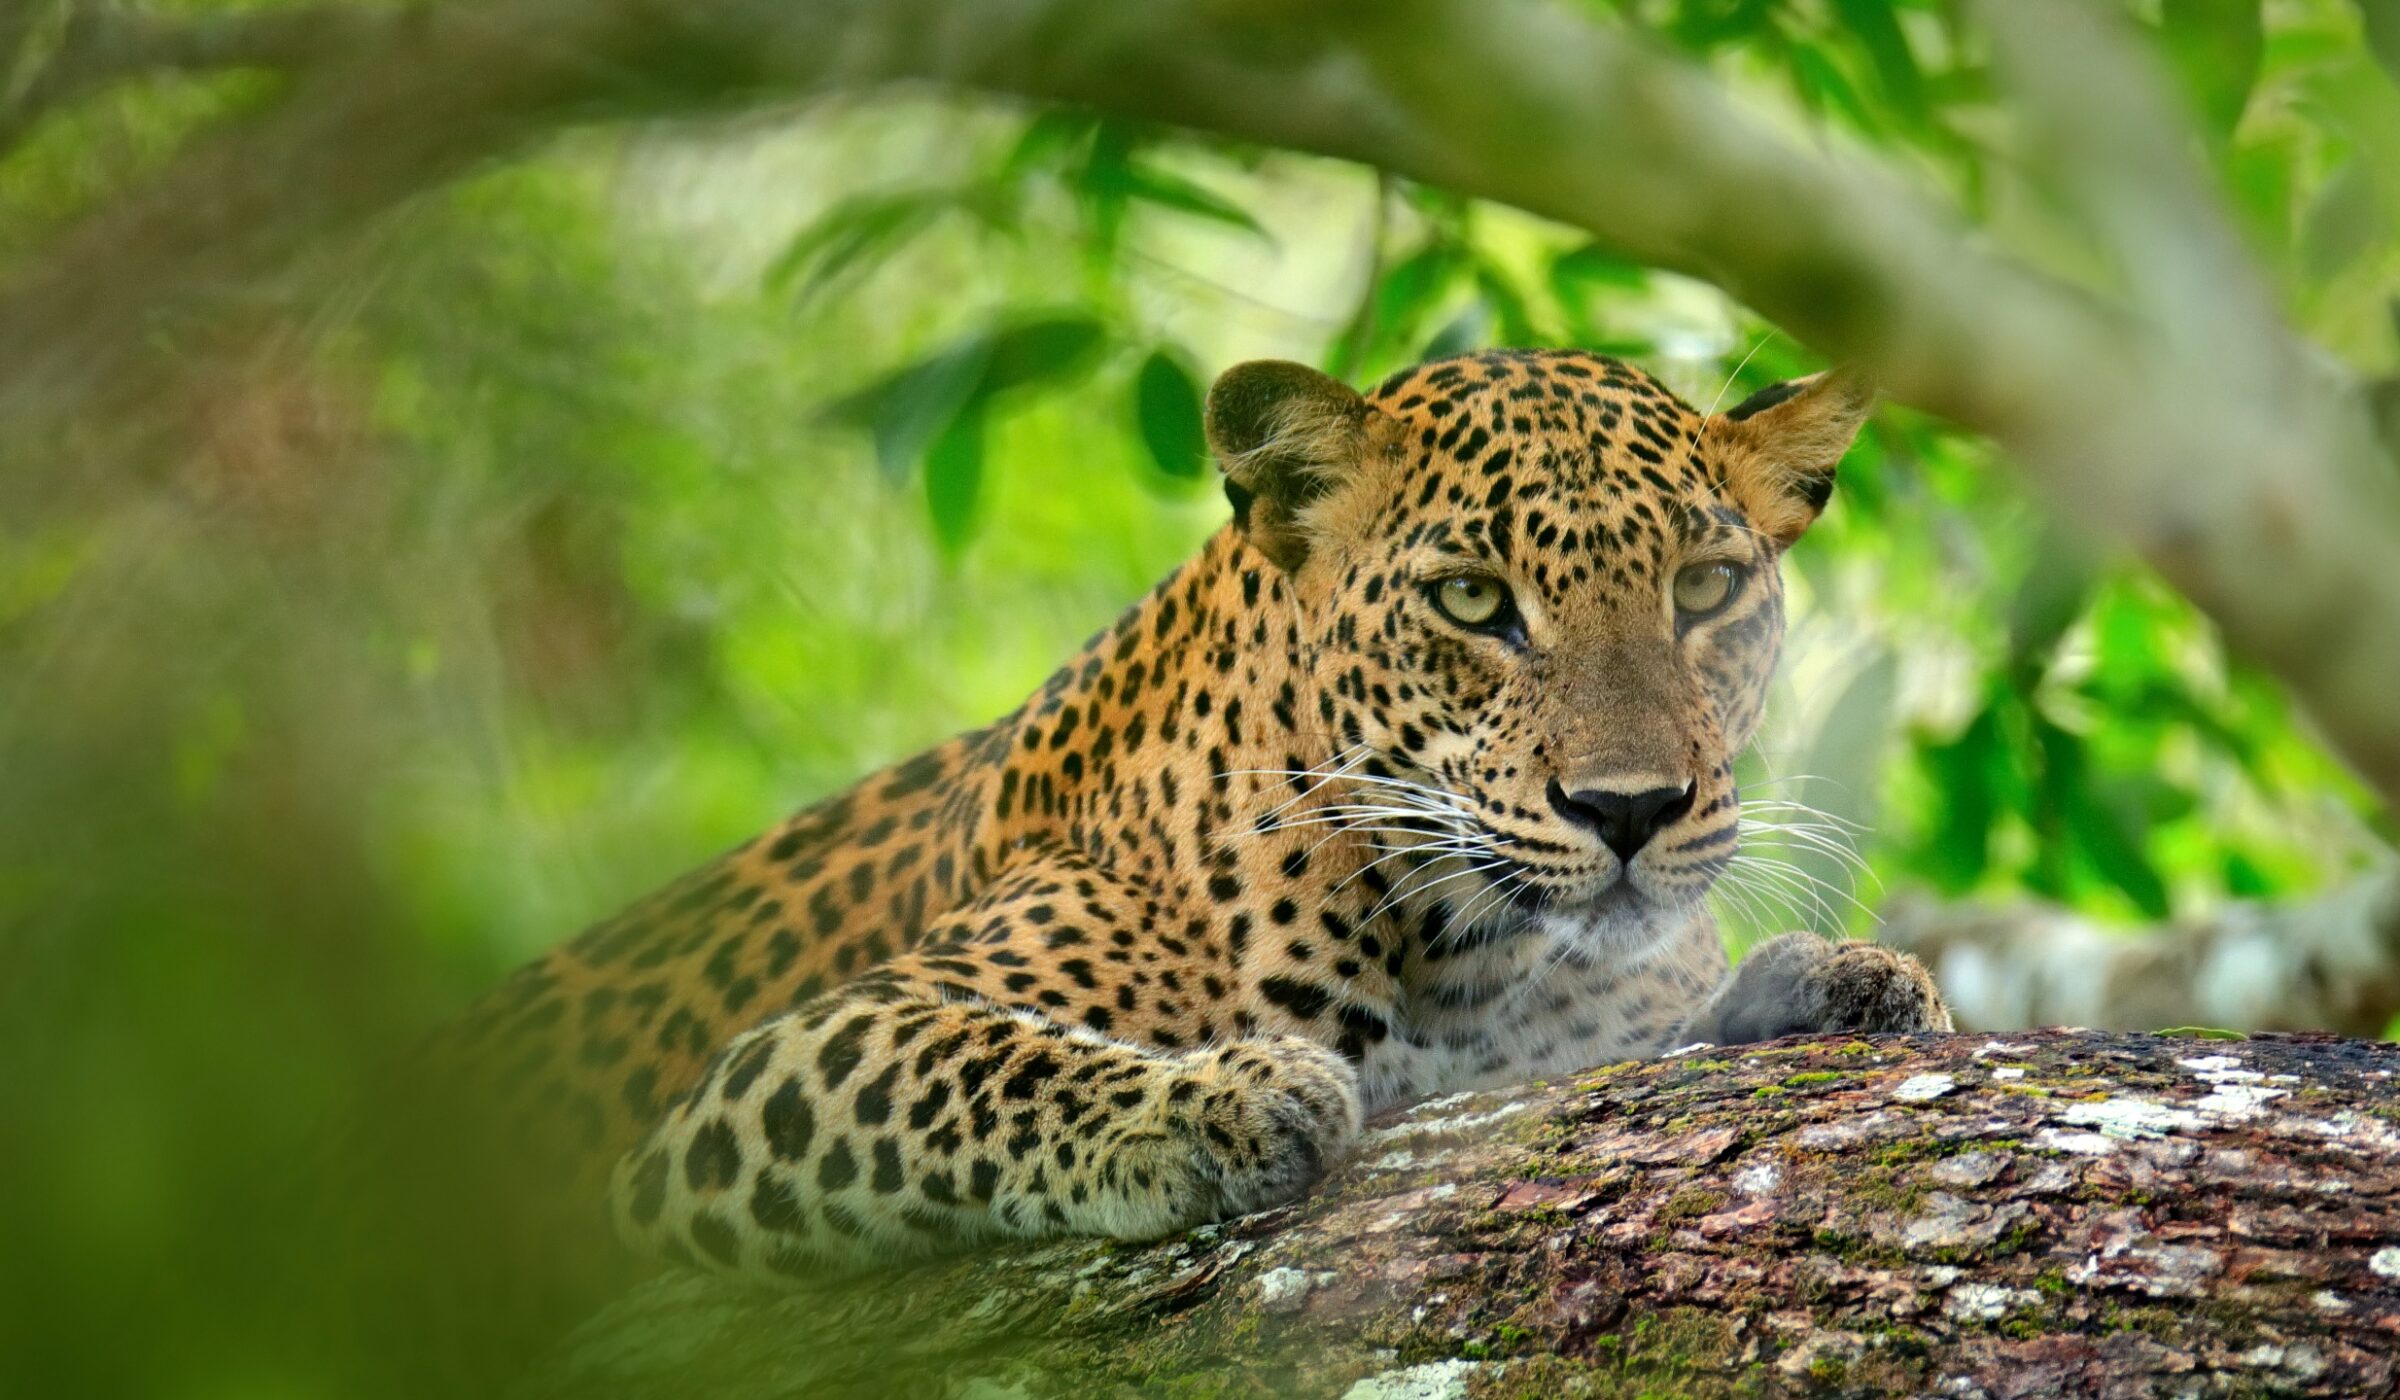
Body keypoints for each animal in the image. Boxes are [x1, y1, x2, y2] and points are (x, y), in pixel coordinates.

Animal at [440, 348, 1950, 1290]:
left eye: (1704, 588)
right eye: (1472, 600)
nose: (1630, 809)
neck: (1465, 955)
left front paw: (1833, 981)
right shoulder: (768, 1073)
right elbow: (956, 1062)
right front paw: (1218, 1102)